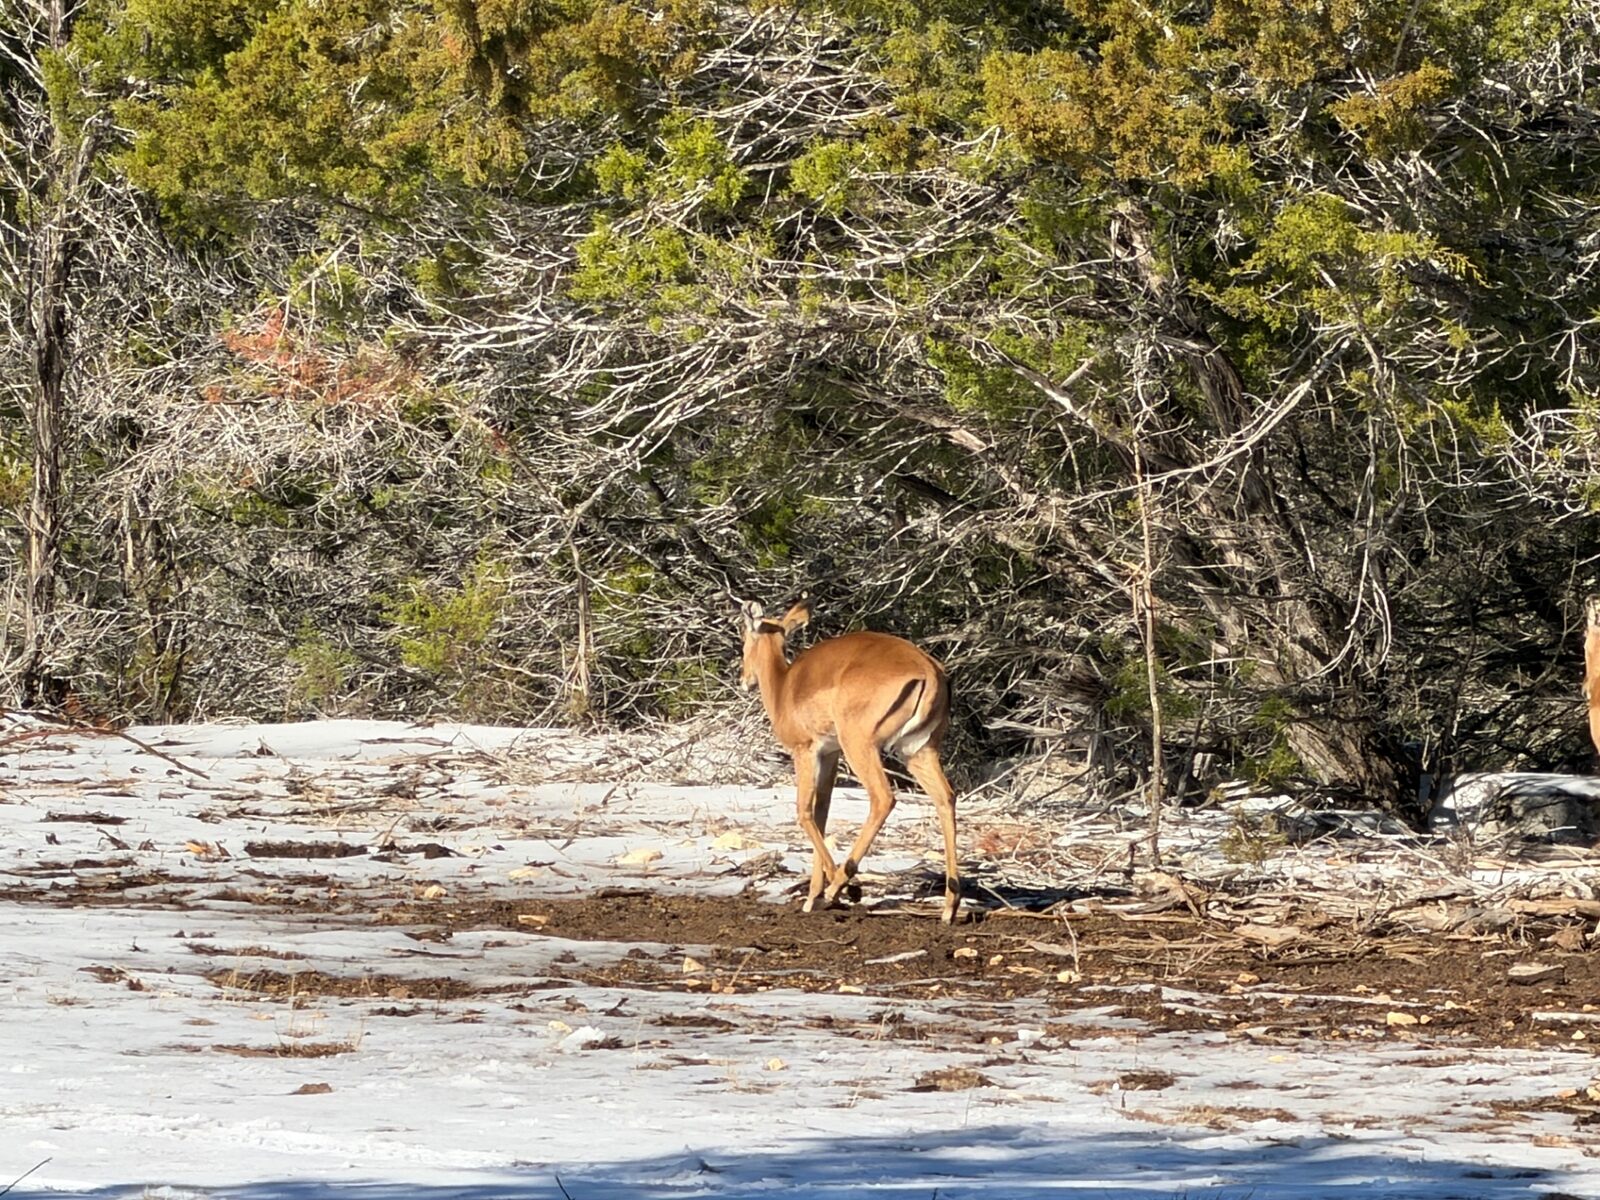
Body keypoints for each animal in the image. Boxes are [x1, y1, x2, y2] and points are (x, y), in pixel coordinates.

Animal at [738, 596, 961, 923]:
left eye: (745, 639)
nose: (745, 680)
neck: (783, 686)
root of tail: (930, 671)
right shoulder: (830, 753)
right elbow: (822, 813)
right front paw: (813, 896)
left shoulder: (805, 750)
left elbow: (805, 812)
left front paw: (833, 890)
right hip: (918, 750)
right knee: (946, 797)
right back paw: (949, 906)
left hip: (861, 747)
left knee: (883, 798)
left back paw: (841, 885)